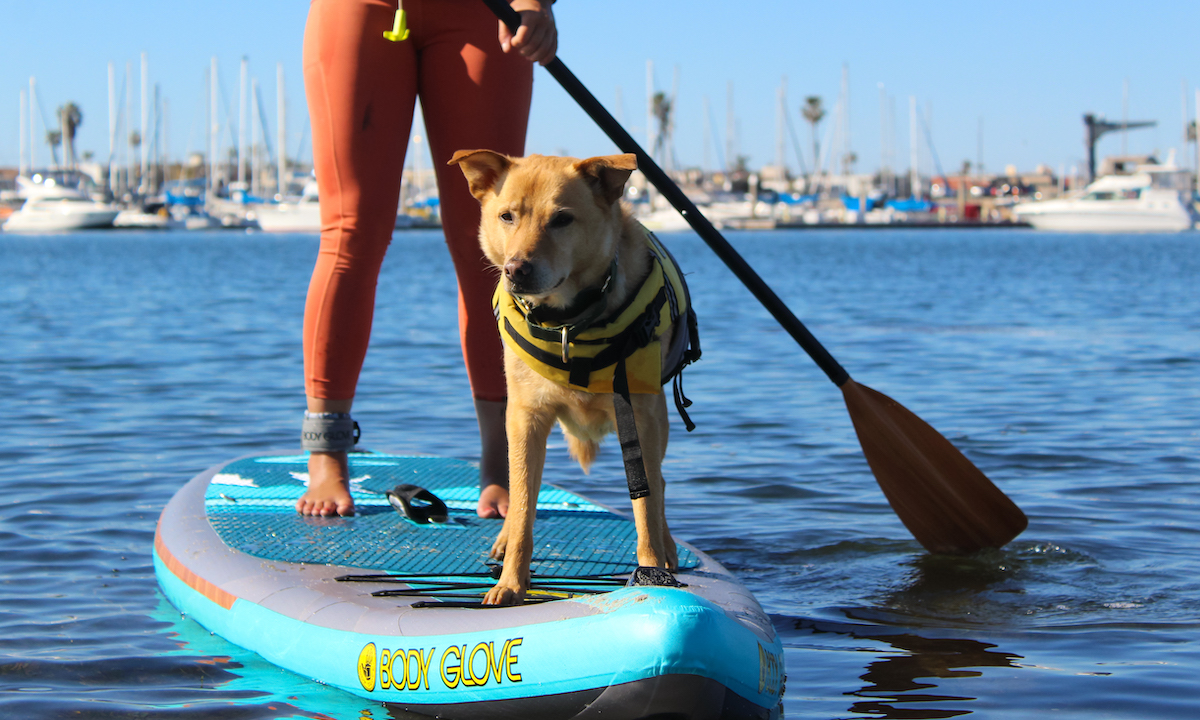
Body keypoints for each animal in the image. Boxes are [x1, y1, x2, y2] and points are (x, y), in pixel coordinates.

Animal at [448, 151, 696, 607]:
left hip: (658, 421)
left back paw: (668, 547)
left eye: (562, 219)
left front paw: (653, 571)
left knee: (659, 487)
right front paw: (511, 583)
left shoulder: (640, 418)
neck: (567, 323)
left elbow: (646, 506)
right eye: (507, 216)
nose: (516, 270)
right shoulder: (524, 419)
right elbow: (523, 505)